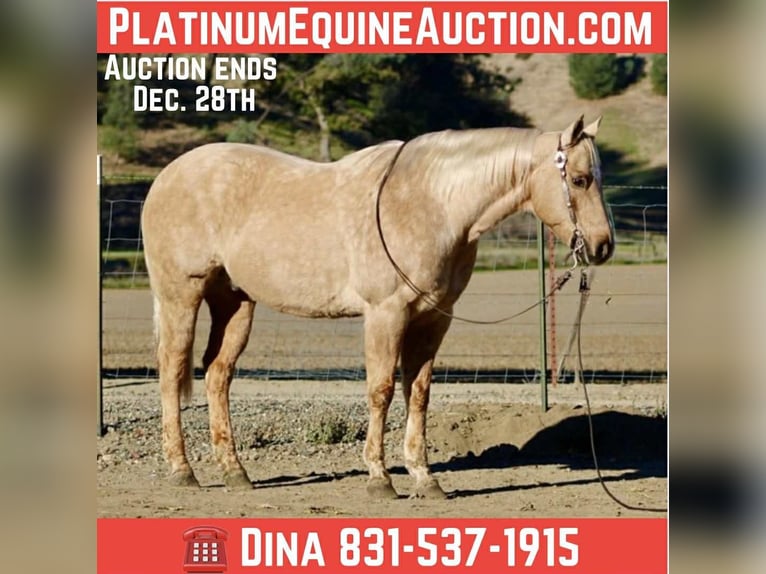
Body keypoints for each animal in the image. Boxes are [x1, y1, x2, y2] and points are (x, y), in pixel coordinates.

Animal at [141, 115, 614, 499]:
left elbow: (418, 393)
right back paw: (182, 471)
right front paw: (379, 479)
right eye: (579, 180)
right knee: (172, 371)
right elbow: (381, 390)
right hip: (181, 297)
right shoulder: (386, 315)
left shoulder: (432, 320)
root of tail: (167, 176)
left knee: (217, 374)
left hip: (235, 302)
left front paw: (425, 479)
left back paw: (235, 473)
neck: (433, 203)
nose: (603, 246)